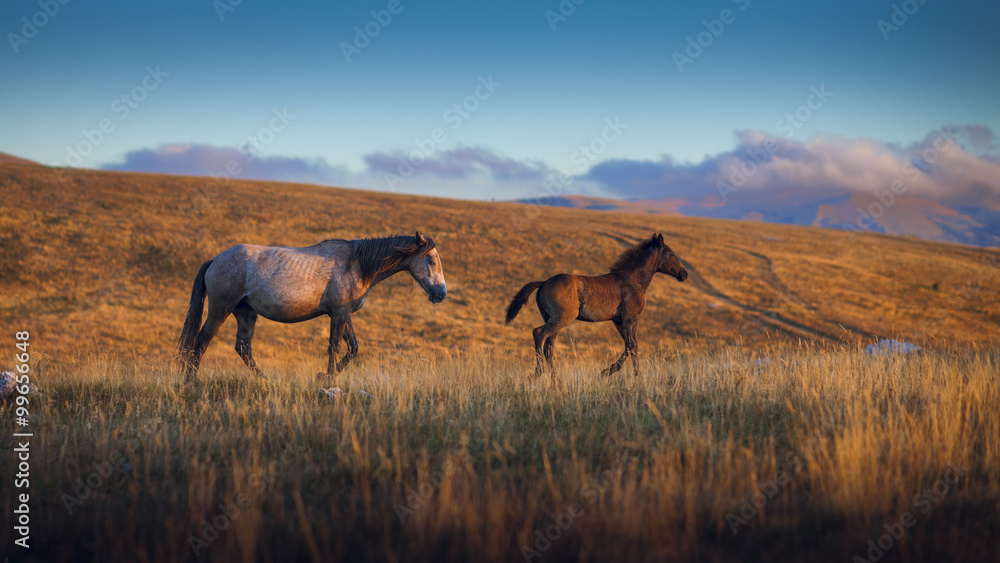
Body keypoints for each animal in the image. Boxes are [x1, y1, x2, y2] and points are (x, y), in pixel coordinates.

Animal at [178, 232, 446, 381]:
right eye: (431, 261)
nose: (441, 294)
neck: (357, 264)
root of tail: (215, 259)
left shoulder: (344, 314)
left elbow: (353, 348)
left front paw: (323, 375)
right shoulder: (338, 314)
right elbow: (334, 347)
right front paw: (326, 379)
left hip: (246, 314)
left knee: (243, 348)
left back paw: (265, 381)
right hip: (220, 310)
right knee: (200, 343)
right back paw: (191, 382)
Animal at [504, 233, 687, 378]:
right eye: (671, 253)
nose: (684, 274)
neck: (633, 279)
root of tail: (544, 282)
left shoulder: (618, 320)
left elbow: (628, 345)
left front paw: (607, 371)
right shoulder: (631, 318)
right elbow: (633, 345)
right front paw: (634, 377)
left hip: (551, 318)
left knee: (549, 346)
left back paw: (556, 382)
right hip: (562, 318)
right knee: (539, 333)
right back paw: (538, 373)